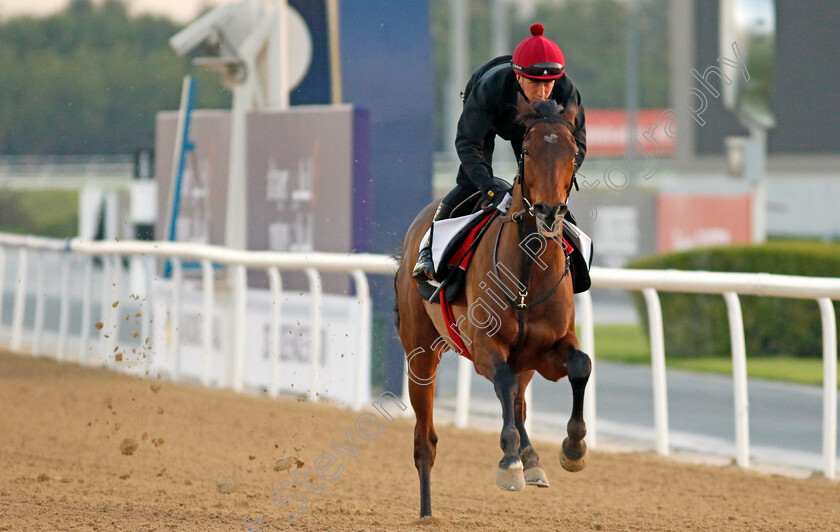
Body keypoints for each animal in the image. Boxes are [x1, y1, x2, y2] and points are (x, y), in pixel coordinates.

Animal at [394, 97, 592, 516]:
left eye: (573, 152)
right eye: (528, 150)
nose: (549, 211)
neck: (527, 274)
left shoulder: (547, 349)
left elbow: (580, 365)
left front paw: (573, 448)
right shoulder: (485, 348)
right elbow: (501, 382)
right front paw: (510, 462)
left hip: (525, 361)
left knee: (519, 402)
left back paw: (534, 459)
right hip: (421, 354)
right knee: (425, 439)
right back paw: (426, 512)